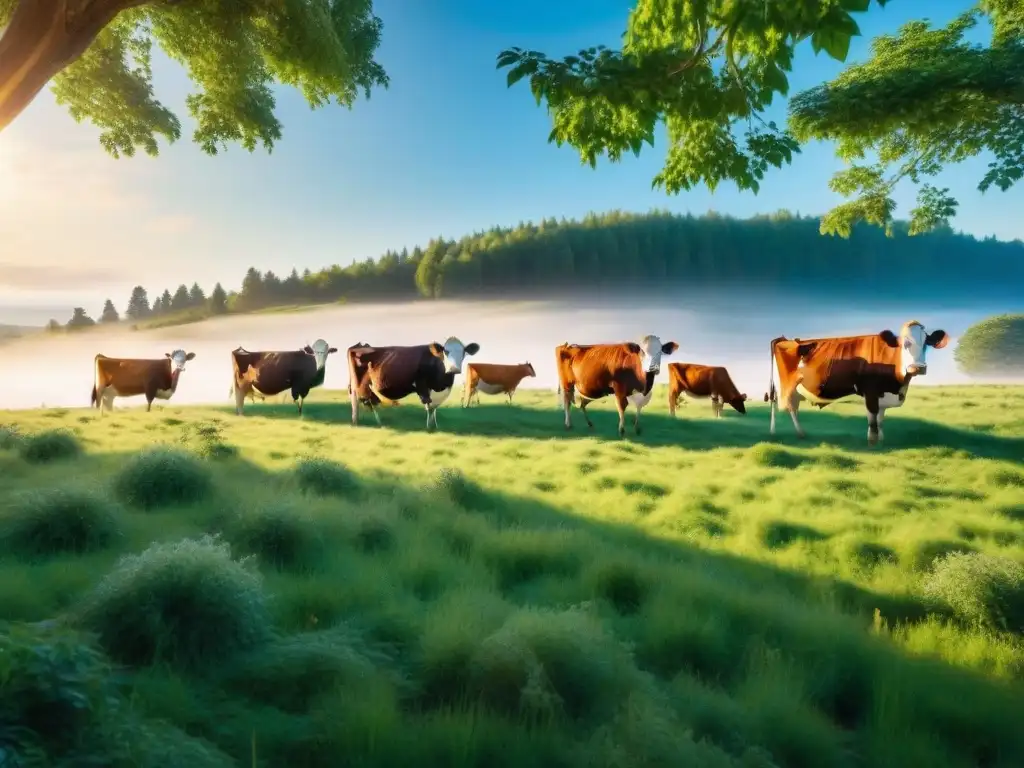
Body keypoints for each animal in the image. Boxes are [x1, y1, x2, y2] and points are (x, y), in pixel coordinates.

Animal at [348, 335, 479, 434]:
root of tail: (358, 346)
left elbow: (434, 408)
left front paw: (436, 426)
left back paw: (377, 424)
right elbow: (429, 407)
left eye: (463, 352)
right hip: (357, 386)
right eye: (445, 352)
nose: (454, 369)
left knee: (371, 402)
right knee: (357, 403)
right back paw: (357, 423)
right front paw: (428, 428)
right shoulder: (422, 386)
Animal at [765, 321, 946, 448]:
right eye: (903, 343)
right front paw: (872, 442)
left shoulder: (883, 395)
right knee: (783, 406)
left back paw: (798, 433)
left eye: (926, 343)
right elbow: (872, 419)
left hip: (796, 390)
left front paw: (881, 440)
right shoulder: (871, 392)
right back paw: (781, 433)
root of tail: (784, 339)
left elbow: (880, 419)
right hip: (783, 387)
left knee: (793, 408)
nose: (917, 368)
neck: (897, 386)